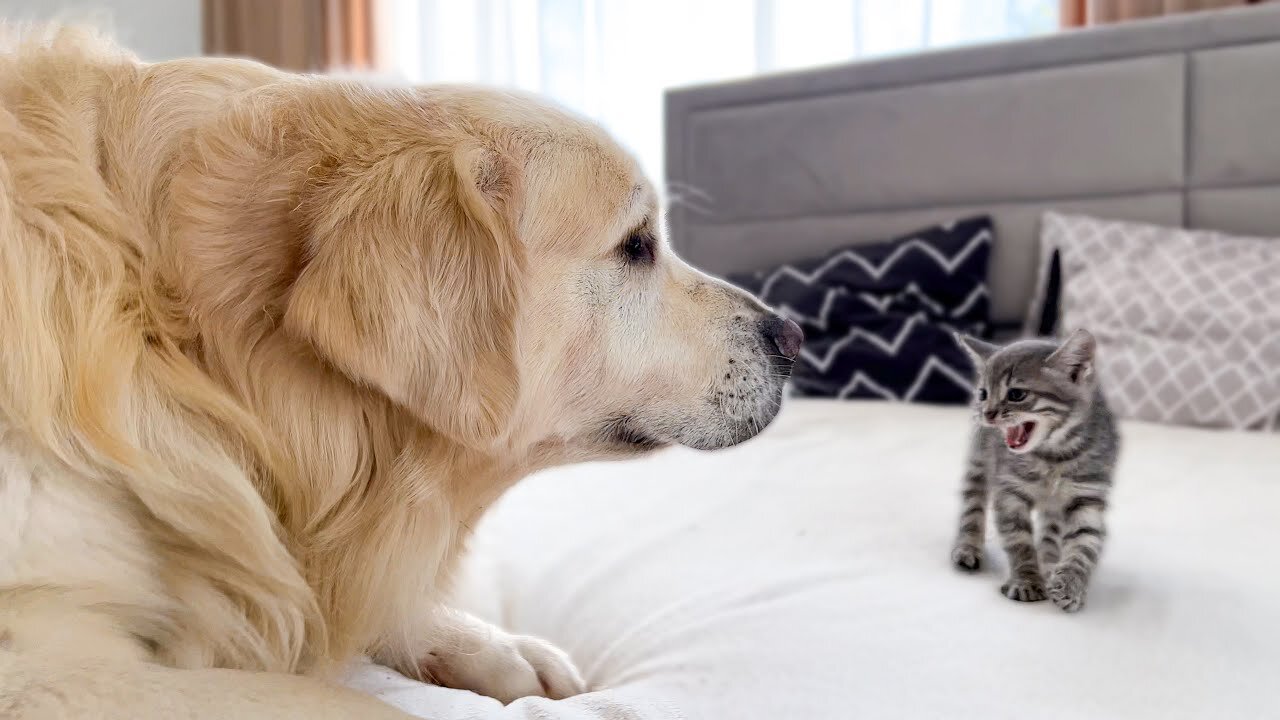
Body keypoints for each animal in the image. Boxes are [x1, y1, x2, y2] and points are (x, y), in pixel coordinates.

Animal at [952, 327, 1121, 607]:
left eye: (1016, 394)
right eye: (983, 394)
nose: (987, 413)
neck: (1054, 455)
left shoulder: (1087, 494)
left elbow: (1084, 543)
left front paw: (1070, 583)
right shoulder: (1009, 490)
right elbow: (1019, 539)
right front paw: (1027, 580)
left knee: (1051, 530)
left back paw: (1049, 563)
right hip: (979, 459)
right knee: (972, 502)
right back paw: (967, 548)